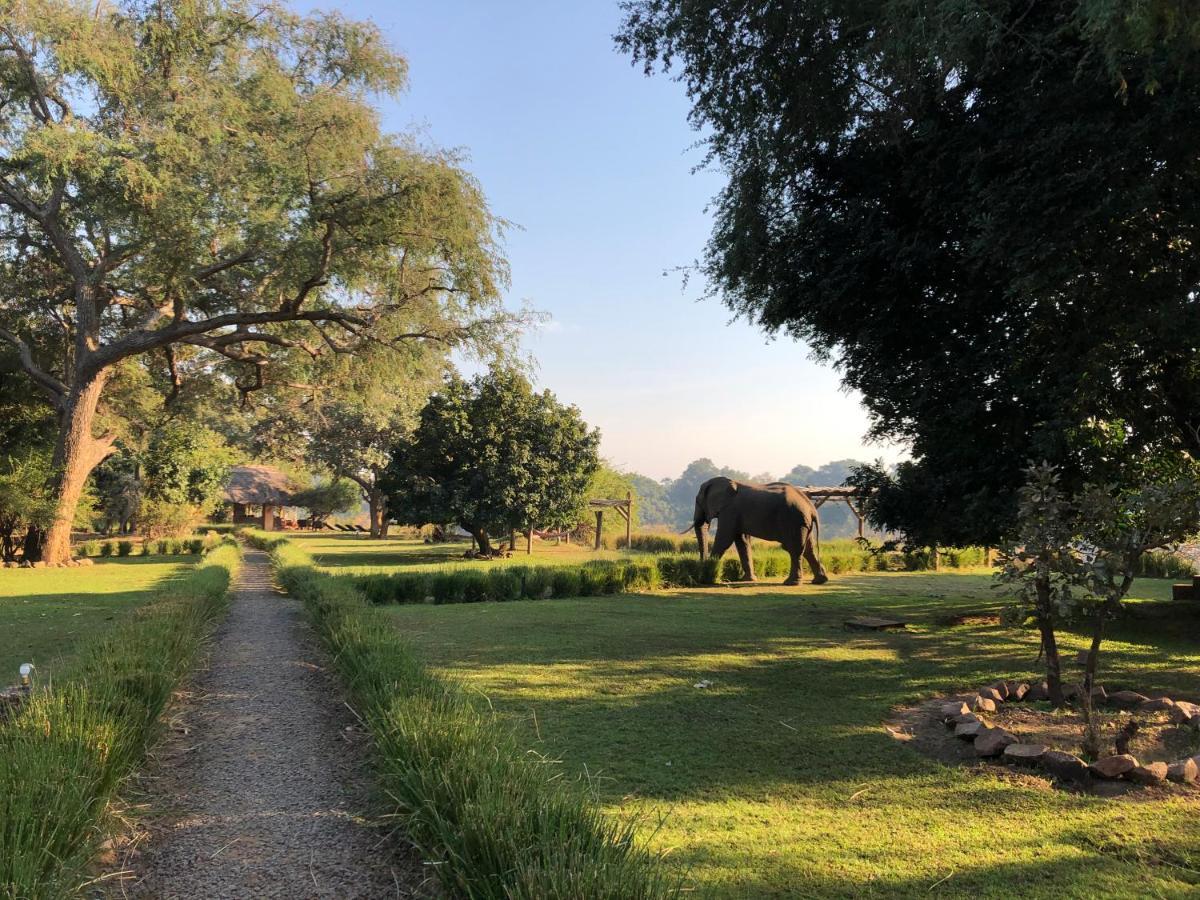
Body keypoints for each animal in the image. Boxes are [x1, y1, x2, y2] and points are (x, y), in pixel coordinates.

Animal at [691, 475, 830, 588]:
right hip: (802, 523)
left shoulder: (729, 511)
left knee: (794, 549)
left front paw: (706, 577)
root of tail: (811, 508)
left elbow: (724, 539)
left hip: (794, 521)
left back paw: (791, 583)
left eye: (698, 501)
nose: (699, 568)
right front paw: (747, 580)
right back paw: (819, 581)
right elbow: (742, 542)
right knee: (809, 549)